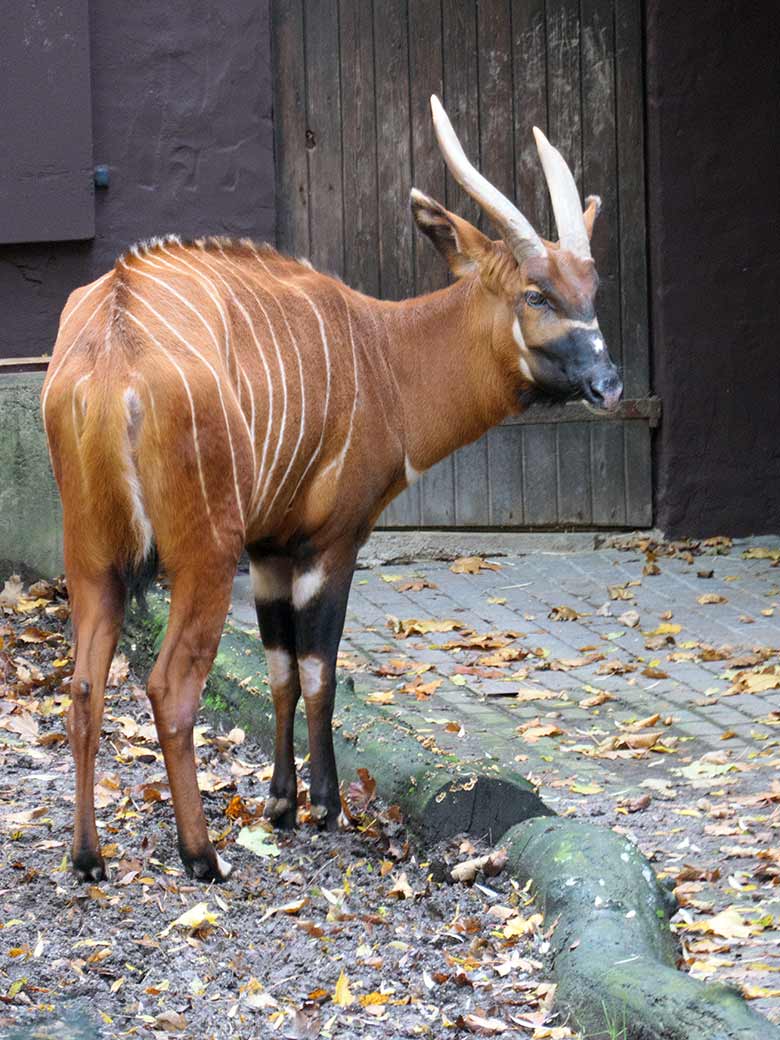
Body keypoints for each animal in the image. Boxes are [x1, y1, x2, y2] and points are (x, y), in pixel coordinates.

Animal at [41, 97, 624, 881]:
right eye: (536, 292)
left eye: (591, 291)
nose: (609, 385)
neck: (383, 354)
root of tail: (113, 342)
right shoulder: (332, 541)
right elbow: (319, 668)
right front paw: (325, 807)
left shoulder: (270, 550)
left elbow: (280, 670)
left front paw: (280, 804)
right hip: (203, 552)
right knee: (169, 687)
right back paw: (202, 857)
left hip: (93, 555)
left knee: (82, 685)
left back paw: (87, 857)